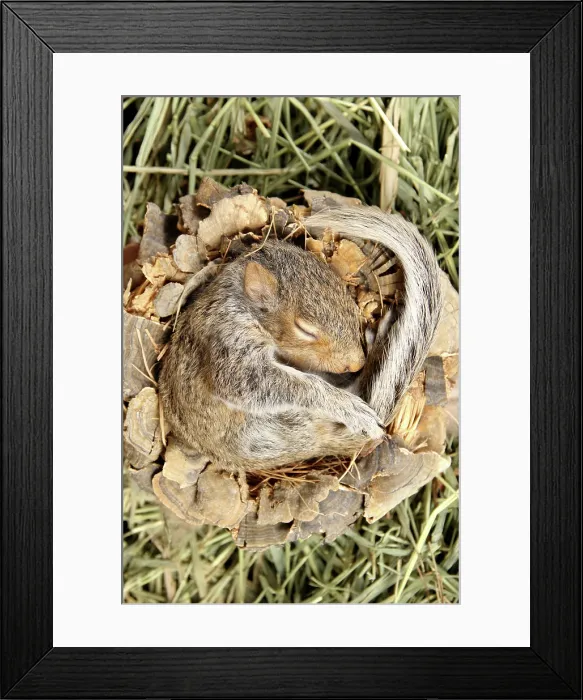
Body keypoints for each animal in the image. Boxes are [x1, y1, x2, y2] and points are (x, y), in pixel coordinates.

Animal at [158, 206, 443, 469]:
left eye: (347, 298)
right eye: (305, 329)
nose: (355, 363)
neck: (240, 305)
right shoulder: (227, 341)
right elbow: (260, 383)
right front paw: (347, 406)